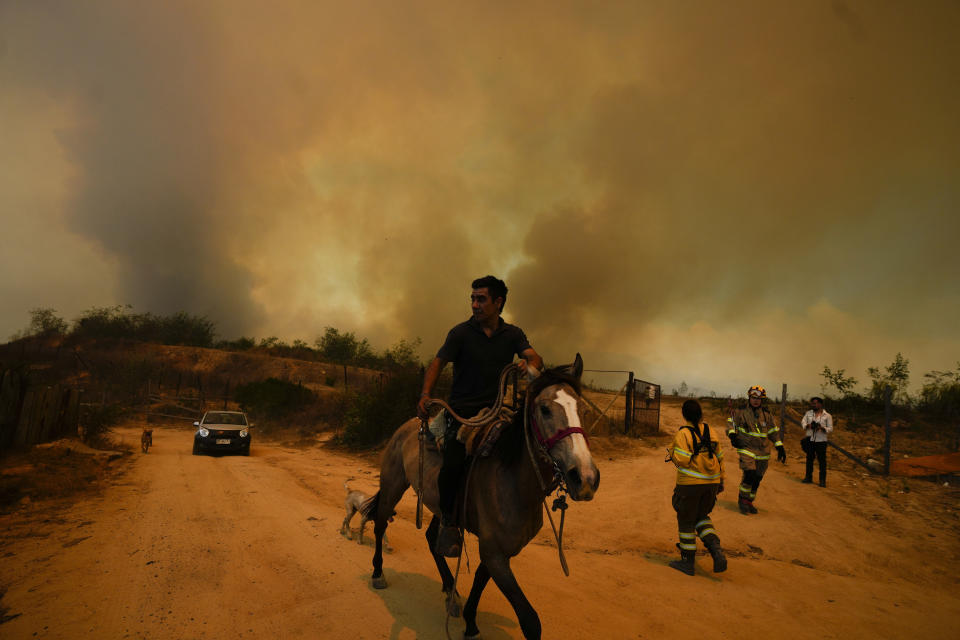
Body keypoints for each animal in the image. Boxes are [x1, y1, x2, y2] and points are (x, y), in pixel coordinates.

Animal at [362, 356, 600, 640]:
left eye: (583, 409)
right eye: (544, 410)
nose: (585, 478)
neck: (513, 480)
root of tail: (408, 426)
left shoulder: (502, 550)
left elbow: (479, 579)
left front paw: (471, 623)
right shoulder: (494, 551)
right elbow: (530, 621)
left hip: (442, 509)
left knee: (433, 539)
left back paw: (450, 593)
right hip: (393, 485)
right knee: (380, 524)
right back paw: (378, 573)